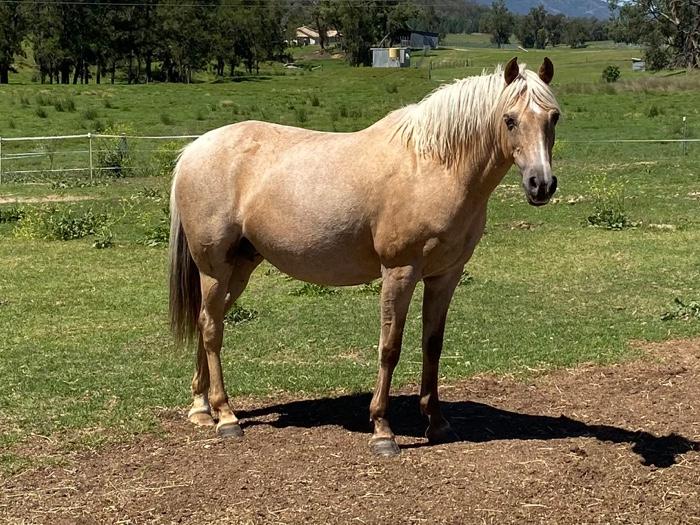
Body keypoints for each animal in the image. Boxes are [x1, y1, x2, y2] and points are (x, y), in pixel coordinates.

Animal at [169, 57, 560, 456]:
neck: (432, 166)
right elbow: (390, 347)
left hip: (239, 268)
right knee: (212, 328)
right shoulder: (399, 271)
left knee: (207, 321)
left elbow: (432, 346)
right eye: (509, 119)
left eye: (554, 117)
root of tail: (193, 151)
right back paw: (226, 417)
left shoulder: (445, 276)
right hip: (214, 268)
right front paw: (382, 430)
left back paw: (202, 408)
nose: (541, 184)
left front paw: (437, 422)